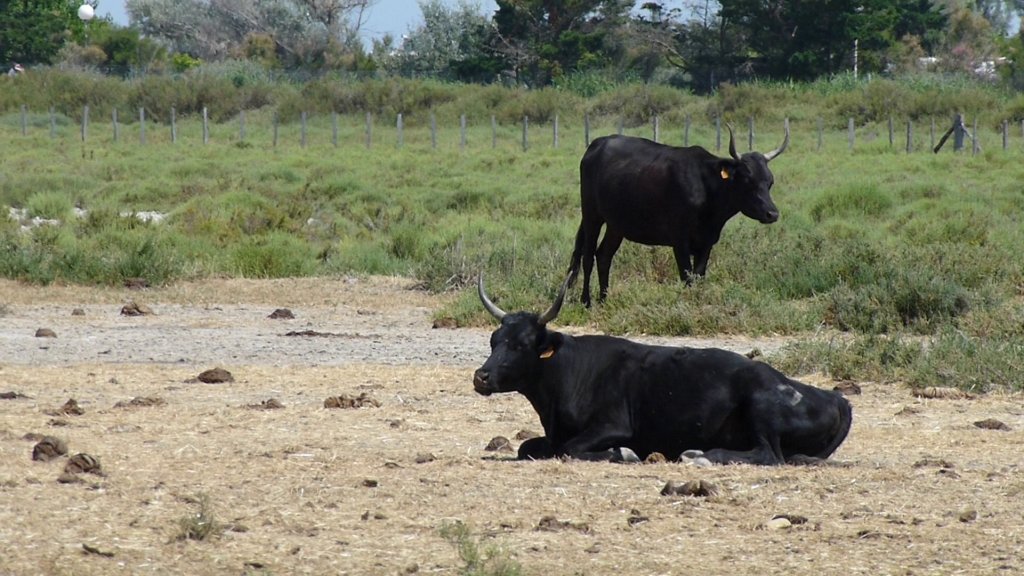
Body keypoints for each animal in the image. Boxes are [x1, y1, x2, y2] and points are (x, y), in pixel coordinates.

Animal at [473, 276, 856, 463]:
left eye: (521, 344)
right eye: (494, 340)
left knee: (768, 454)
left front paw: (623, 454)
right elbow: (529, 447)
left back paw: (701, 455)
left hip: (761, 407)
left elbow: (571, 448)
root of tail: (834, 397)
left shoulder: (612, 425)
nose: (481, 376)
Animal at [569, 117, 790, 305]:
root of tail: (597, 144)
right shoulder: (679, 241)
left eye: (769, 181)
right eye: (747, 180)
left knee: (603, 256)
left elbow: (698, 276)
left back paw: (604, 300)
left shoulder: (706, 243)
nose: (772, 214)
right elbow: (687, 277)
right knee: (587, 256)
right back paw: (586, 301)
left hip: (616, 224)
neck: (706, 188)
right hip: (592, 215)